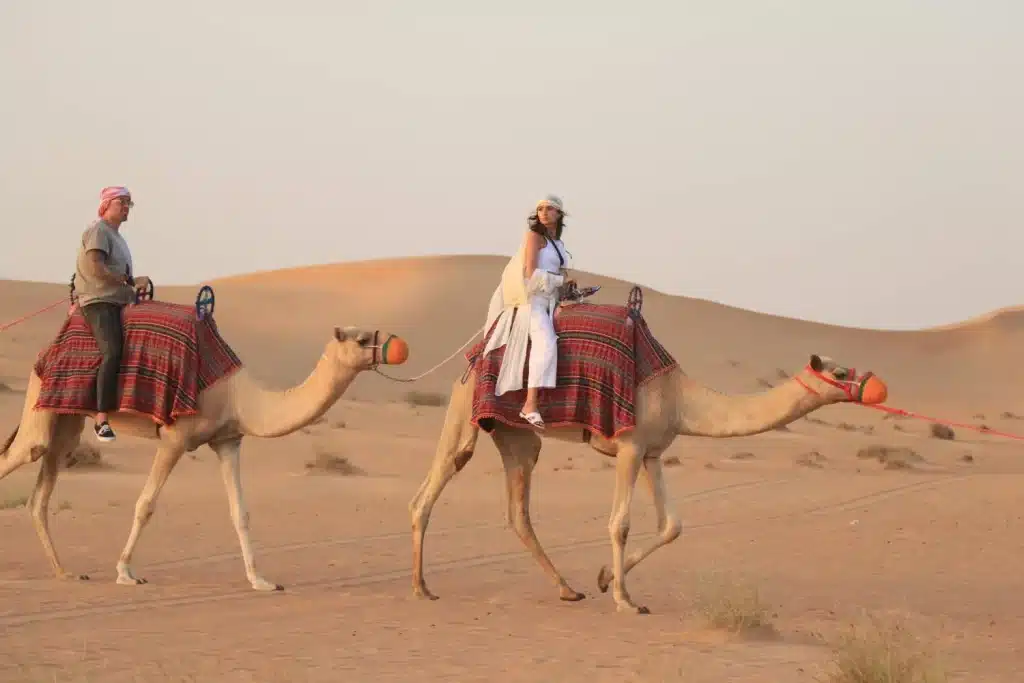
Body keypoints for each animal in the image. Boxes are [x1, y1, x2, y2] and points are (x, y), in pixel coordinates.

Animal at [0, 323, 408, 591]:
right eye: (361, 339)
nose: (397, 346)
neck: (239, 395)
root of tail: (45, 352)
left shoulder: (228, 441)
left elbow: (240, 512)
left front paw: (261, 580)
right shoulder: (175, 438)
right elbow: (145, 504)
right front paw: (125, 573)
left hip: (66, 420)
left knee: (40, 492)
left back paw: (65, 573)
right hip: (41, 407)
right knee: (23, 454)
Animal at [409, 341, 887, 614]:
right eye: (838, 372)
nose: (871, 383)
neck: (681, 397)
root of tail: (471, 361)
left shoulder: (654, 453)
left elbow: (672, 525)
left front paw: (605, 578)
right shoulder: (629, 446)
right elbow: (619, 523)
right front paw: (625, 599)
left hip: (516, 435)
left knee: (517, 511)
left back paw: (568, 590)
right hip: (465, 410)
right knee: (431, 488)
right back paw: (421, 588)